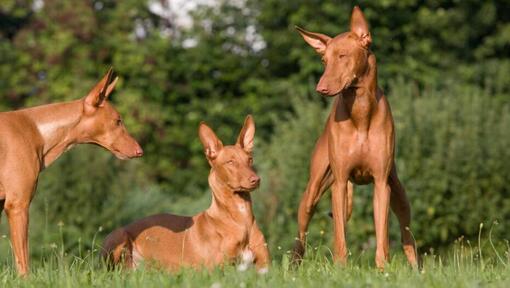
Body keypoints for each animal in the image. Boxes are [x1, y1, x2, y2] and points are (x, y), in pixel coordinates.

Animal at [102, 115, 270, 272]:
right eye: (230, 162)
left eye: (250, 159)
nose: (256, 179)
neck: (241, 219)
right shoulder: (215, 269)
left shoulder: (265, 268)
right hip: (119, 238)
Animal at [290, 5, 418, 268]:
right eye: (324, 60)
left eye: (343, 56)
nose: (320, 88)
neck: (360, 112)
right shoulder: (339, 184)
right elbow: (340, 236)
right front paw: (341, 268)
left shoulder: (381, 184)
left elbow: (382, 235)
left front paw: (382, 268)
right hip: (312, 193)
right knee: (301, 238)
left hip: (399, 194)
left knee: (406, 235)